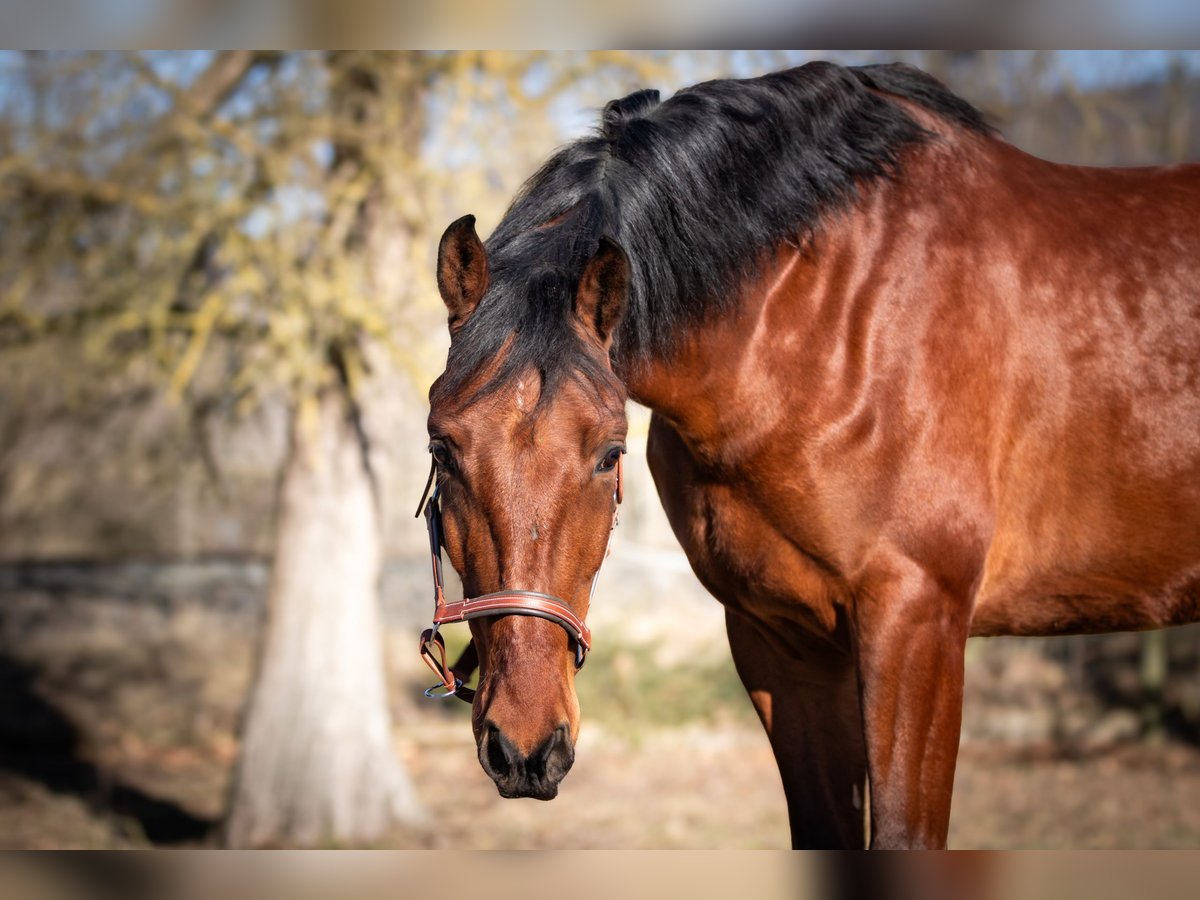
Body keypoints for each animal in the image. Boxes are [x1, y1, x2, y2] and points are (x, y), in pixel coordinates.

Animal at [420, 60, 1200, 849]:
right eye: (442, 447)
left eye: (610, 453)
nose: (524, 747)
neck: (826, 322)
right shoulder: (781, 643)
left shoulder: (917, 622)